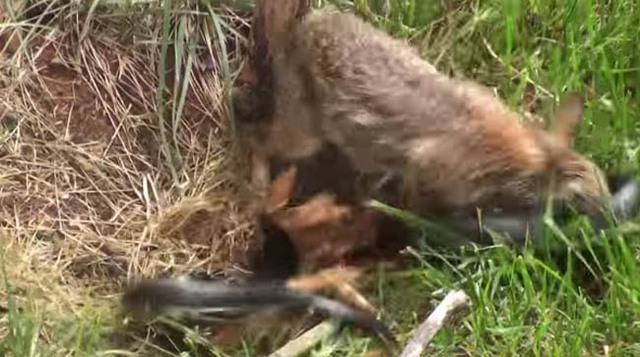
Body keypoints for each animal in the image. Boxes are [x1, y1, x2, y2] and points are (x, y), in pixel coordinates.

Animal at [244, 1, 608, 221]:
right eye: (579, 196)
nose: (608, 211)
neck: (523, 160)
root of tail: (299, 33)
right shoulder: (433, 167)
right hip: (301, 126)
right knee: (257, 137)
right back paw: (258, 187)